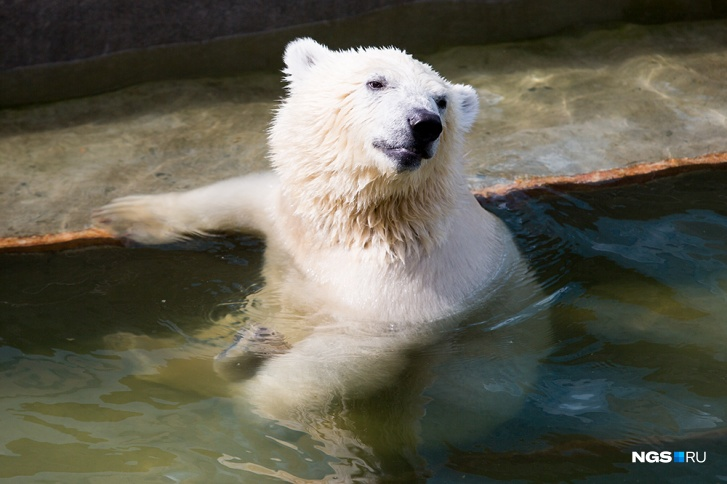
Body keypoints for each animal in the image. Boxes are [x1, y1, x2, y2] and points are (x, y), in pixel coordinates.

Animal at [95, 38, 552, 480]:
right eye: (376, 82)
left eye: (441, 101)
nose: (424, 124)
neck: (365, 222)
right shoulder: (293, 219)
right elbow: (241, 195)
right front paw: (126, 214)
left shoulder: (413, 281)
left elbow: (341, 355)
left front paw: (254, 383)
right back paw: (140, 346)